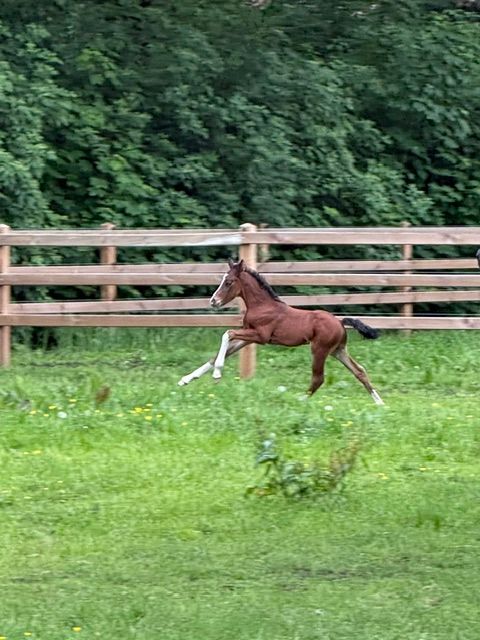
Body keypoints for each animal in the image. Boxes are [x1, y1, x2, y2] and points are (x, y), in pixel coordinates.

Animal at [178, 259, 384, 405]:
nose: (213, 301)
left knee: (318, 378)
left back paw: (299, 401)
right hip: (337, 350)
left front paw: (217, 375)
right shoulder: (248, 335)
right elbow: (217, 354)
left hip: (319, 349)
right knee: (359, 371)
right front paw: (186, 379)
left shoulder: (260, 336)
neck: (263, 306)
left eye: (228, 282)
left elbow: (227, 334)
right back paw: (380, 403)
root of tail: (340, 322)